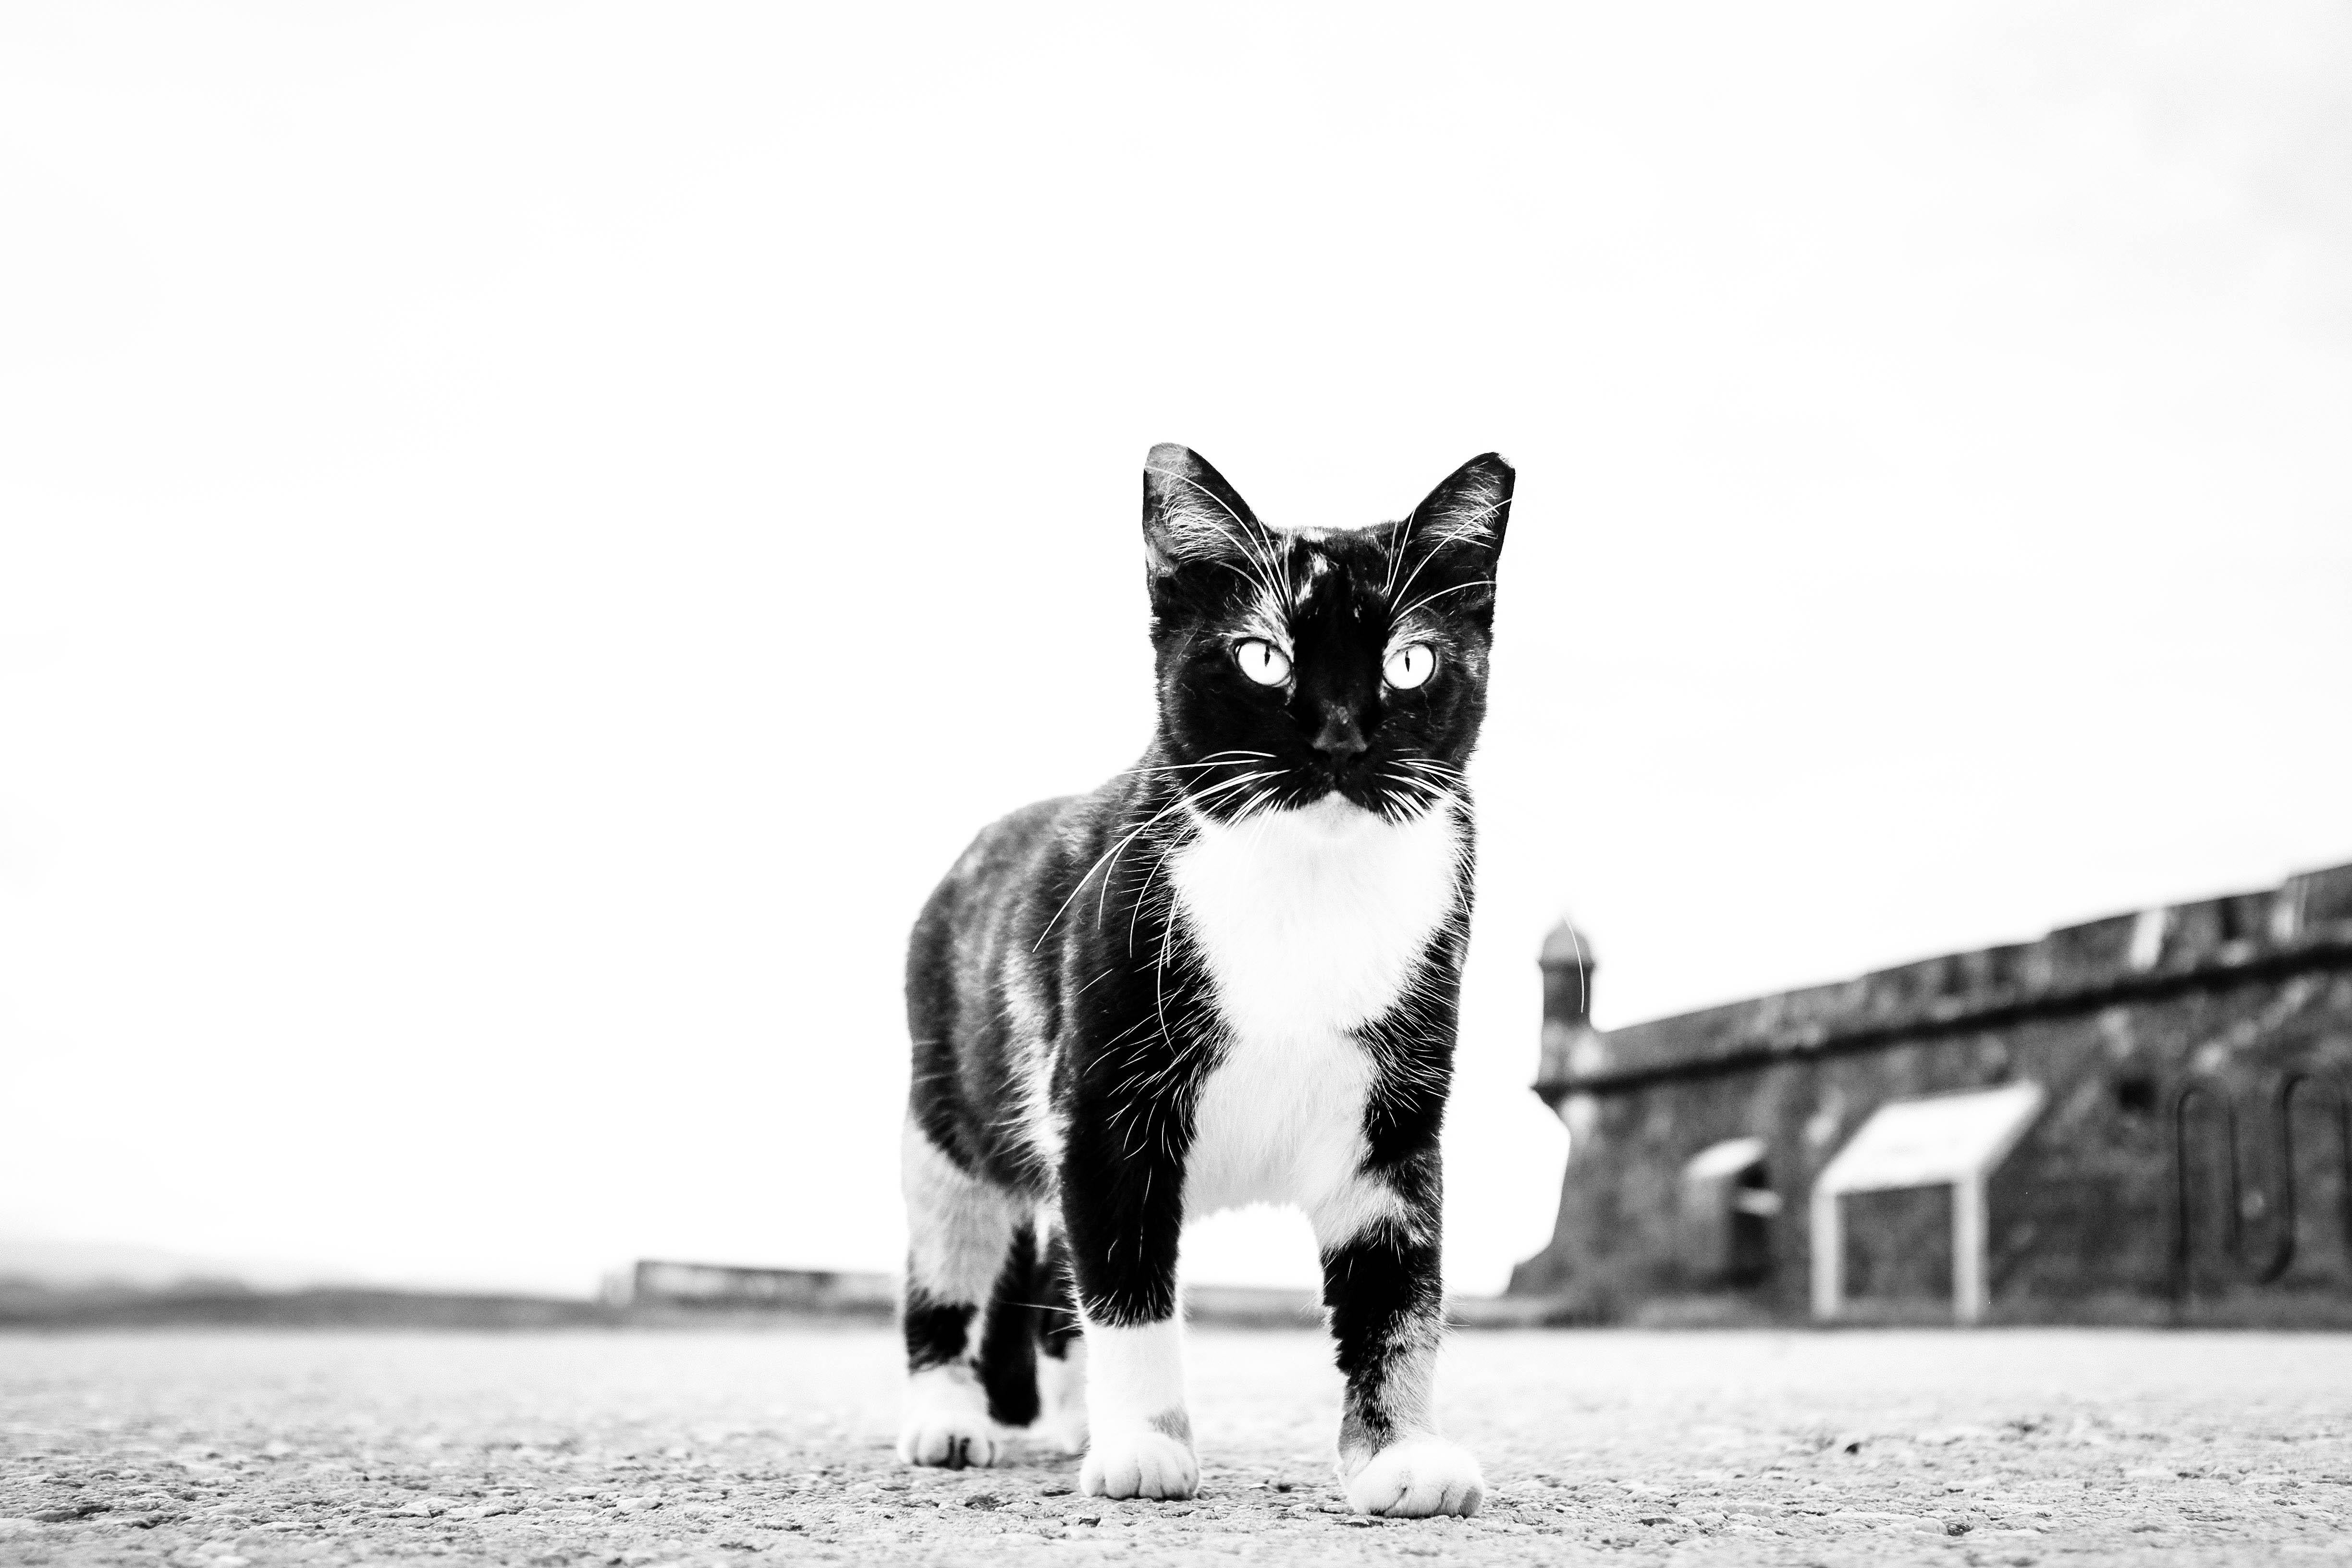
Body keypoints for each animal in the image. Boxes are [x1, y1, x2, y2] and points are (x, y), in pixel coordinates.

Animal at [889, 441, 1515, 1523]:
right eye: (1263, 655)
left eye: (1410, 660)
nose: (1342, 739)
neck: (1309, 892)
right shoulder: (1106, 1103)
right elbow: (1129, 1284)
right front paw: (1147, 1445)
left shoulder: (1394, 1122)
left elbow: (1398, 1297)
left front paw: (1398, 1454)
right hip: (949, 1111)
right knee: (953, 1260)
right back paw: (948, 1417)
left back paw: (1071, 1419)